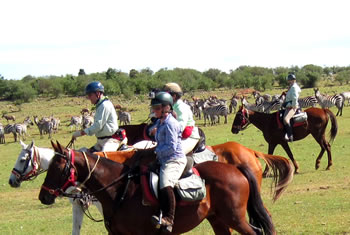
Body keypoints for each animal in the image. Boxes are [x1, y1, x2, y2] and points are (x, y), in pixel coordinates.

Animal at [39, 141, 276, 235]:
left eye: (58, 168)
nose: (43, 196)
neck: (119, 189)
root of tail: (236, 169)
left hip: (234, 217)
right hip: (217, 218)